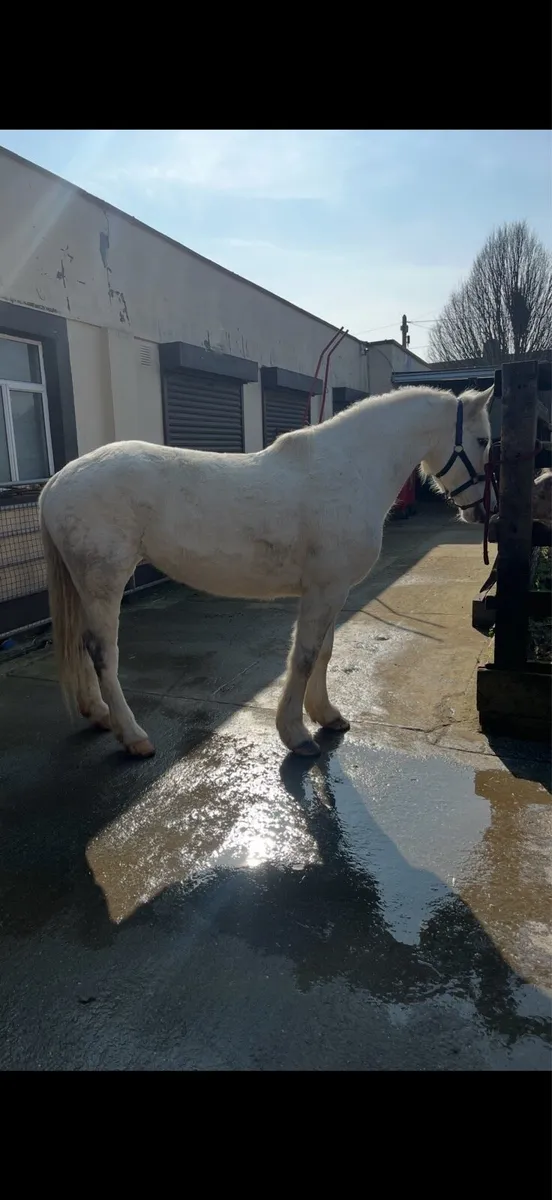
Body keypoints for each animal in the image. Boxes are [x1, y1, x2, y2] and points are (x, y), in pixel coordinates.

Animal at [39, 383, 493, 760]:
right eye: (484, 440)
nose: (481, 512)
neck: (350, 468)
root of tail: (57, 481)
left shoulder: (333, 591)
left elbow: (325, 652)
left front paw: (327, 715)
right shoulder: (325, 590)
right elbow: (305, 656)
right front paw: (297, 735)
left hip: (84, 585)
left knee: (82, 644)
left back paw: (99, 714)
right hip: (105, 583)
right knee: (102, 652)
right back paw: (133, 737)